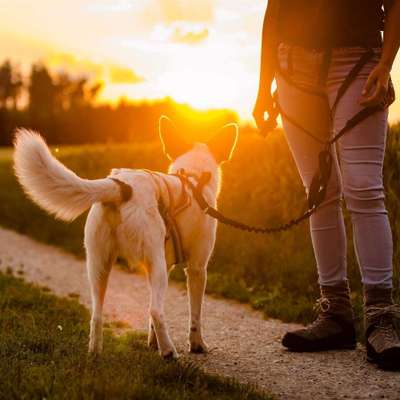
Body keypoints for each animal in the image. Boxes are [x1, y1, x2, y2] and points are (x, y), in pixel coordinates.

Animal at [13, 116, 238, 360]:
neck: (194, 178)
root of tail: (122, 186)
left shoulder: (163, 264)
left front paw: (152, 342)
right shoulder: (196, 268)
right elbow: (194, 315)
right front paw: (196, 345)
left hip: (100, 264)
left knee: (97, 315)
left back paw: (95, 353)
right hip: (155, 264)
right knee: (155, 310)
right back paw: (169, 352)